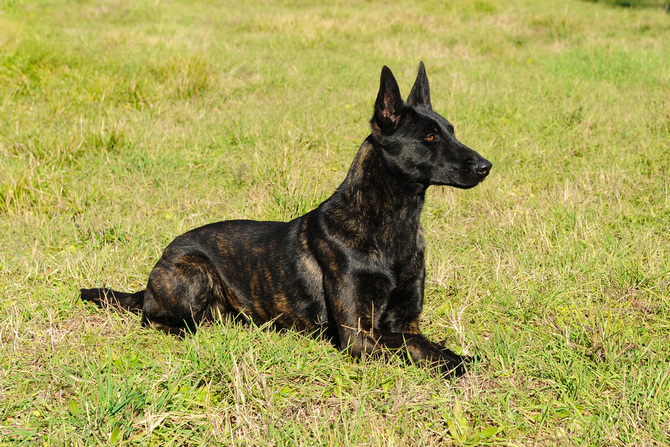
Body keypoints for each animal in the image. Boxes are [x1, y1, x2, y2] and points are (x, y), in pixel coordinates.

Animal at [82, 62, 494, 378]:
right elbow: (408, 350)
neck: (389, 225)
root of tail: (151, 278)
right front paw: (454, 365)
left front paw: (458, 356)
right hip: (193, 272)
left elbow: (424, 344)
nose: (486, 166)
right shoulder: (357, 336)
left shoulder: (405, 323)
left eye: (451, 131)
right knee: (157, 320)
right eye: (429, 137)